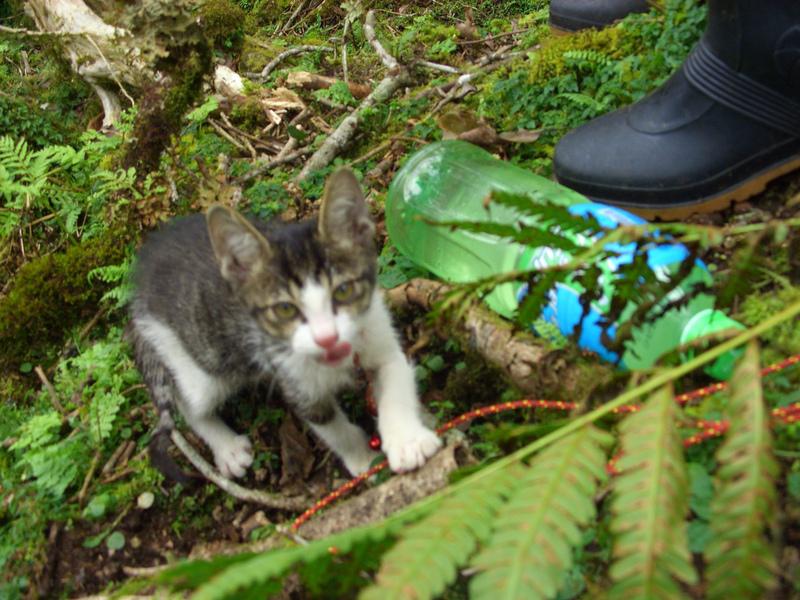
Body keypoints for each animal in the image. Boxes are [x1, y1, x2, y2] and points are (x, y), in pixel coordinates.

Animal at [128, 168, 441, 483]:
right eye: (285, 309)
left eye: (343, 290)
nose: (327, 338)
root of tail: (136, 292)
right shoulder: (291, 377)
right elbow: (331, 426)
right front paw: (362, 457)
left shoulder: (378, 332)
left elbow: (394, 380)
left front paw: (407, 440)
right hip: (197, 358)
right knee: (189, 401)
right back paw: (227, 448)